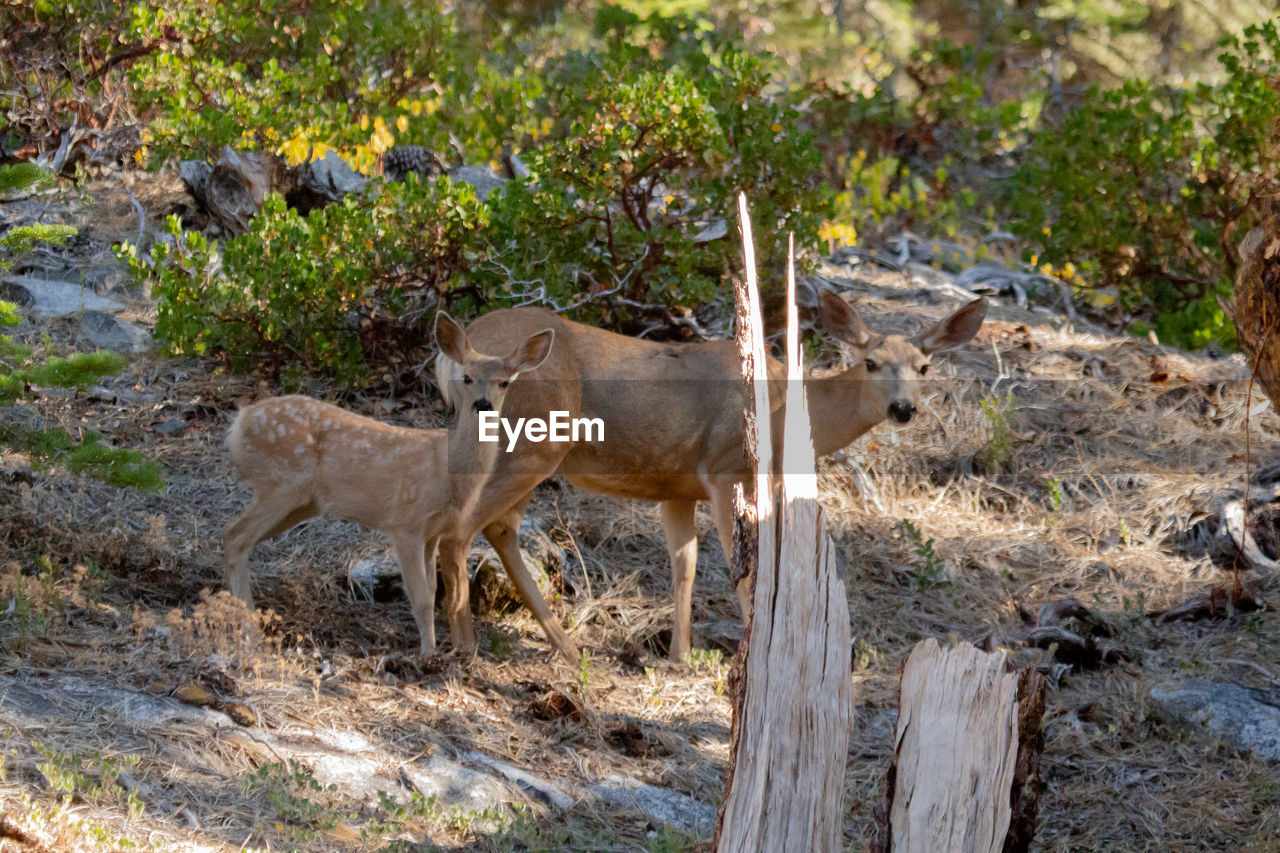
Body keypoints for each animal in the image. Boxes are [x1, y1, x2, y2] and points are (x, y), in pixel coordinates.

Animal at [218, 311, 555, 650]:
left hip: (301, 502)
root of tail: (239, 423)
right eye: (467, 377)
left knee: (236, 538)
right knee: (234, 535)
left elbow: (432, 591)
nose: (483, 404)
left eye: (504, 382)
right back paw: (249, 631)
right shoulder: (406, 521)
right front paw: (428, 655)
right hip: (281, 482)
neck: (447, 470)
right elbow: (420, 599)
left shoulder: (434, 531)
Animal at [435, 292, 983, 655]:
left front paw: (680, 656)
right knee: (464, 526)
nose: (903, 408)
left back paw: (563, 647)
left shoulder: (677, 485)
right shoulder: (725, 470)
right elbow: (744, 570)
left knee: (498, 527)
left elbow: (686, 565)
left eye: (924, 366)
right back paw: (468, 644)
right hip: (534, 442)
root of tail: (457, 351)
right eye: (871, 362)